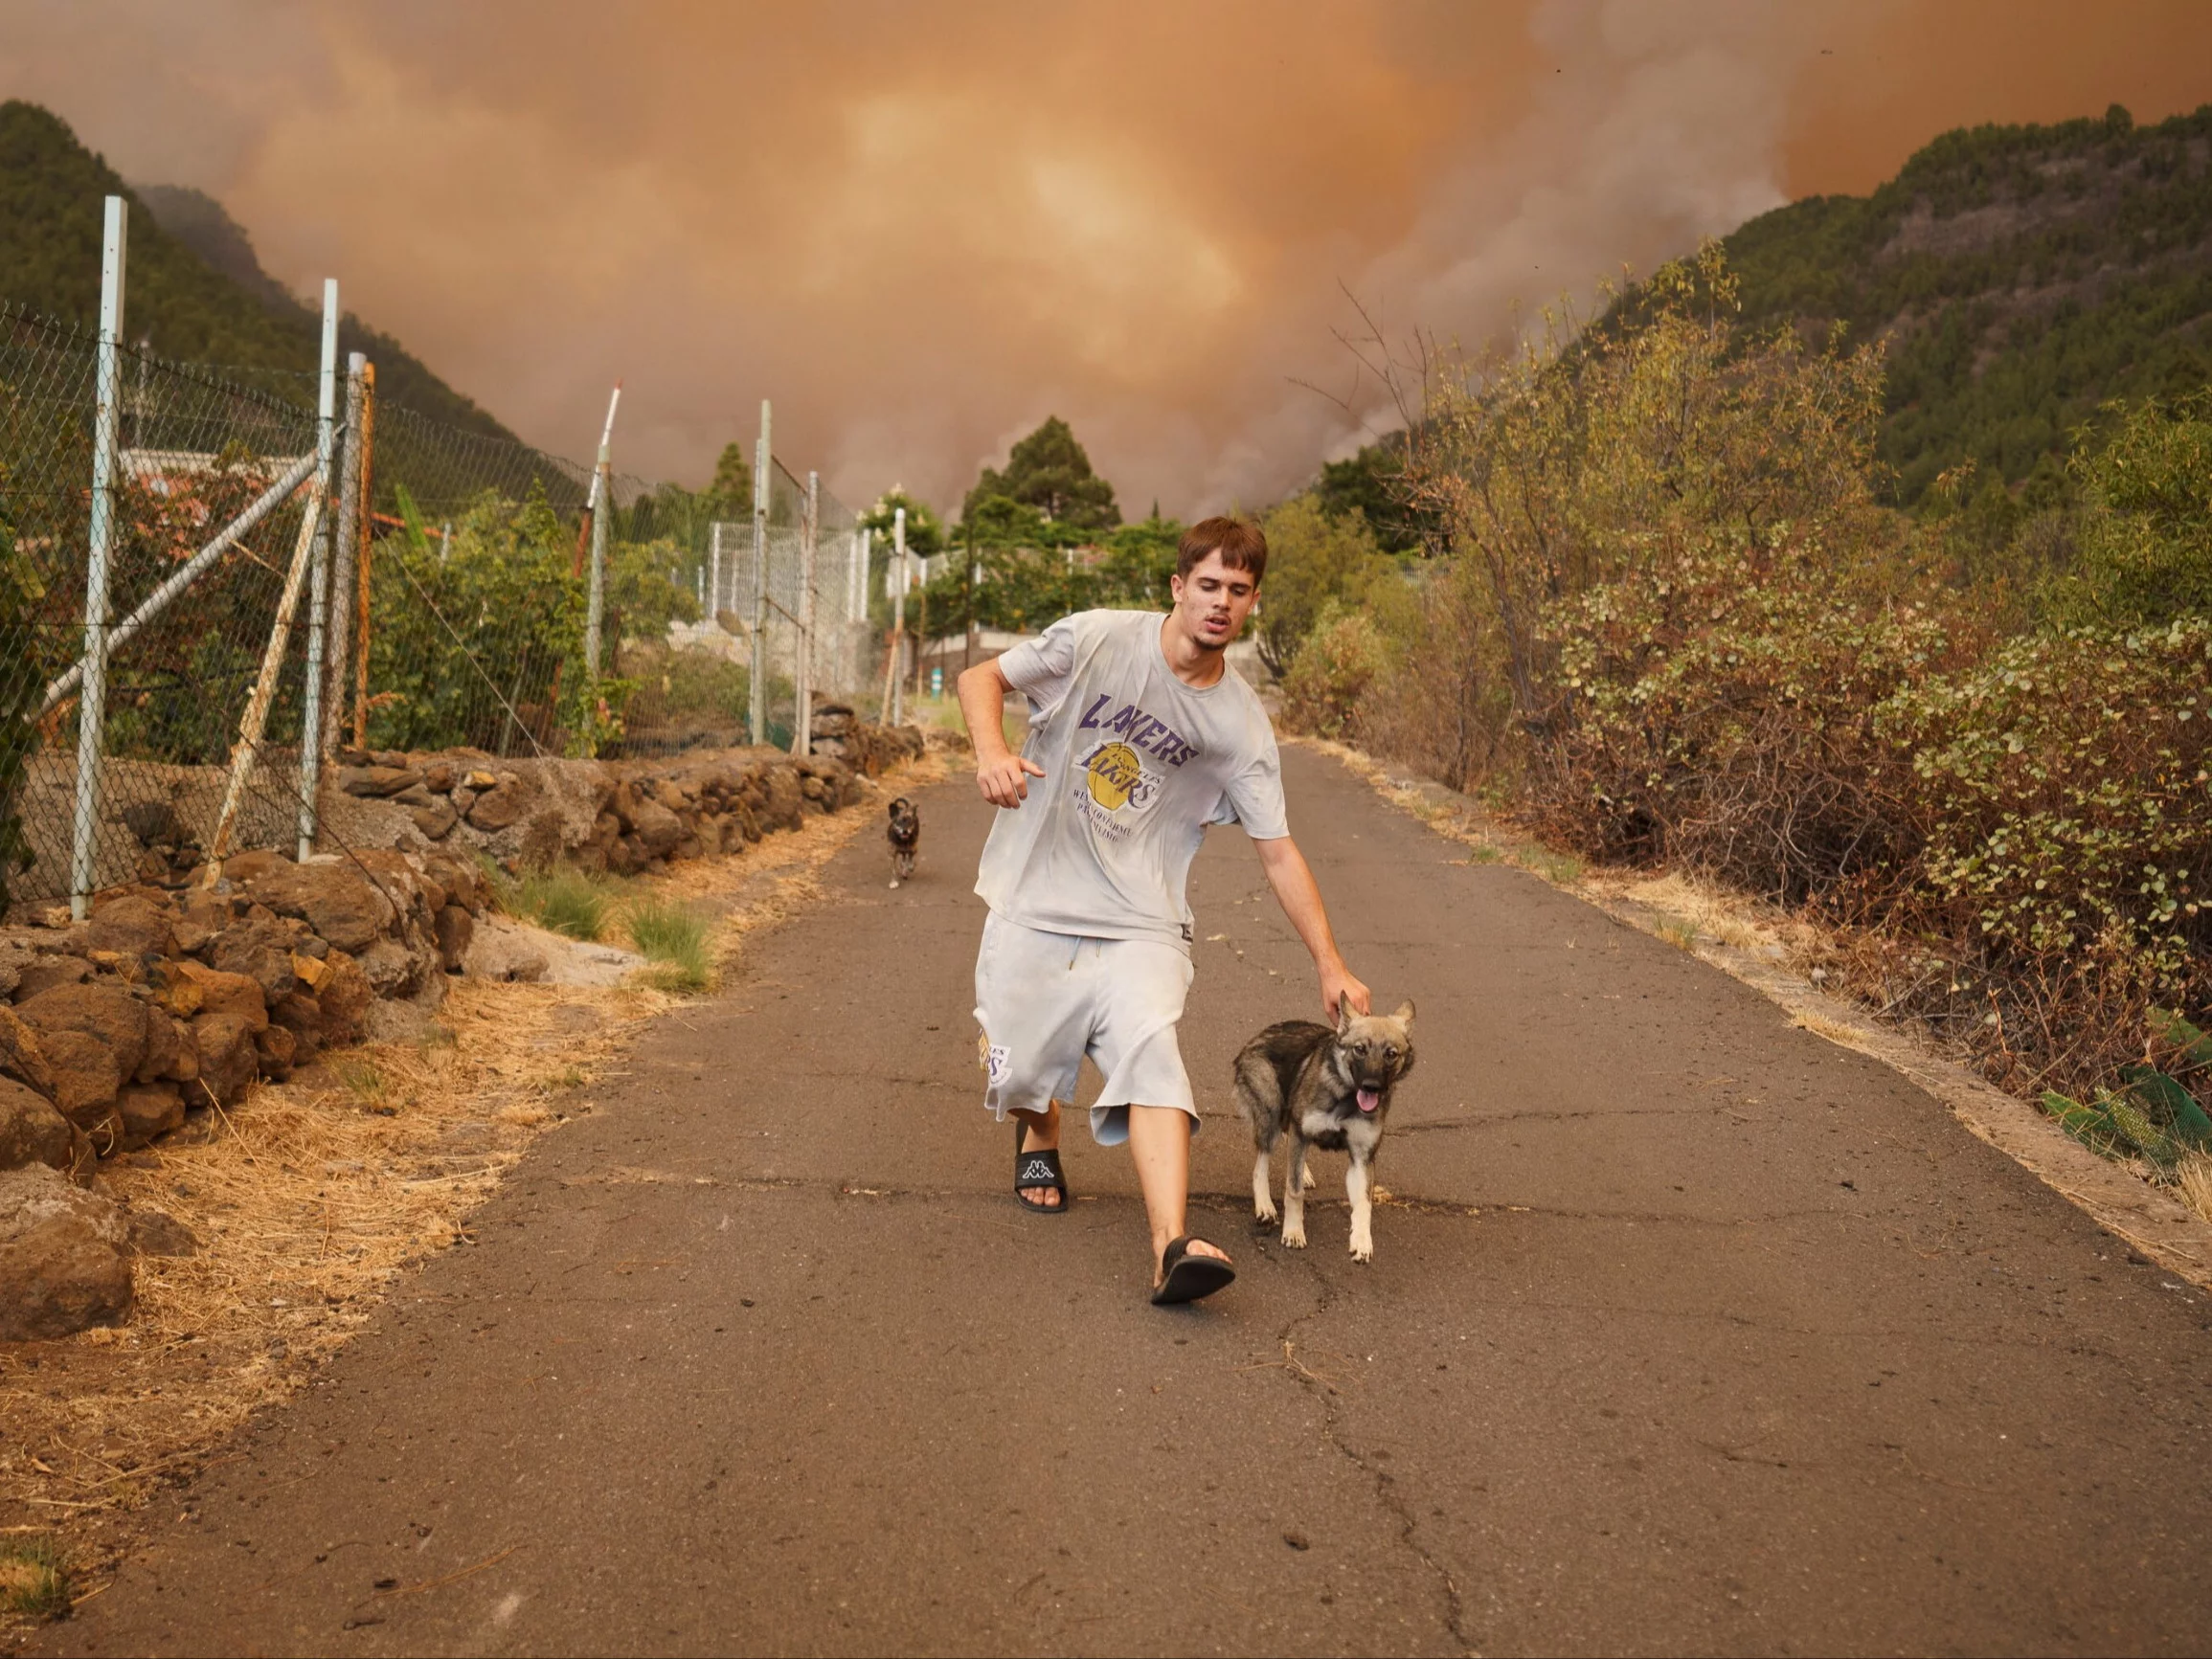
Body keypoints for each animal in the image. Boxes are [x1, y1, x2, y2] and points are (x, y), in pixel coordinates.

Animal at [1238, 1008, 1407, 1265]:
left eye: (1391, 1054)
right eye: (1360, 1049)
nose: (1372, 1086)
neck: (1346, 1095)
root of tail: (1261, 1034)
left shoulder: (1361, 1158)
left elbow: (1363, 1204)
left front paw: (1361, 1241)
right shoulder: (1300, 1130)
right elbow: (1294, 1191)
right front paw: (1293, 1231)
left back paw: (1304, 1174)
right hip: (1271, 1114)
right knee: (1262, 1164)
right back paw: (1265, 1205)